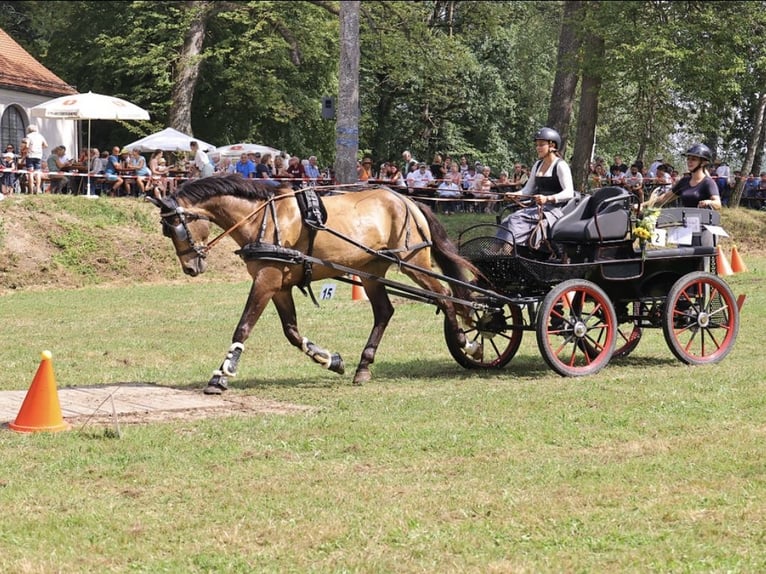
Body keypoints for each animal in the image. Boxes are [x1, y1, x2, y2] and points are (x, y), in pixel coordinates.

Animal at [149, 173, 480, 394]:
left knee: (446, 296)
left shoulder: (266, 280)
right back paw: (363, 366)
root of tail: (406, 199)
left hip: (415, 261)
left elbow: (243, 326)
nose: (190, 268)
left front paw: (221, 374)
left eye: (174, 228)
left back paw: (467, 342)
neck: (262, 218)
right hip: (370, 270)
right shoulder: (279, 284)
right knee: (385, 312)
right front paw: (330, 359)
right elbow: (292, 332)